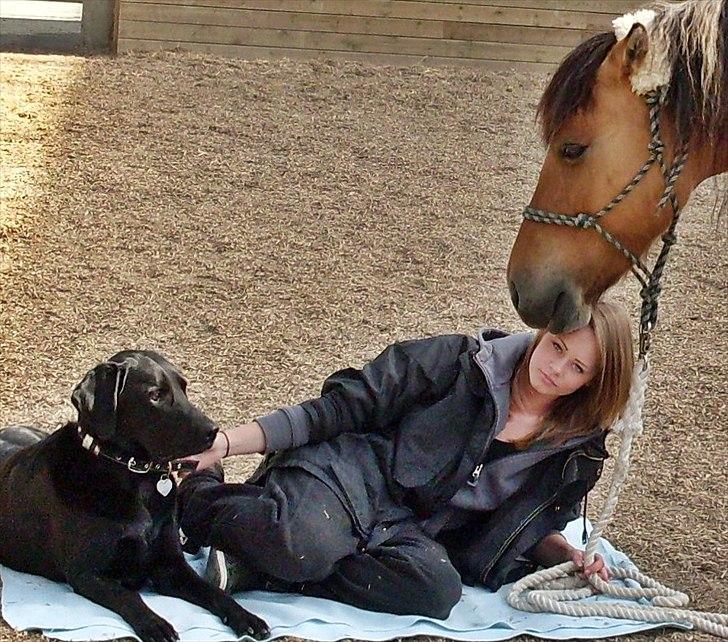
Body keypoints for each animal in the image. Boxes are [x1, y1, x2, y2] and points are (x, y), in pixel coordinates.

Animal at [0, 350, 268, 640]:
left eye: (184, 387)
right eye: (155, 395)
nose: (213, 431)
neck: (134, 474)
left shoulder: (171, 565)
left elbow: (213, 592)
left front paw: (246, 616)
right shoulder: (88, 573)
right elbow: (129, 597)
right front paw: (156, 624)